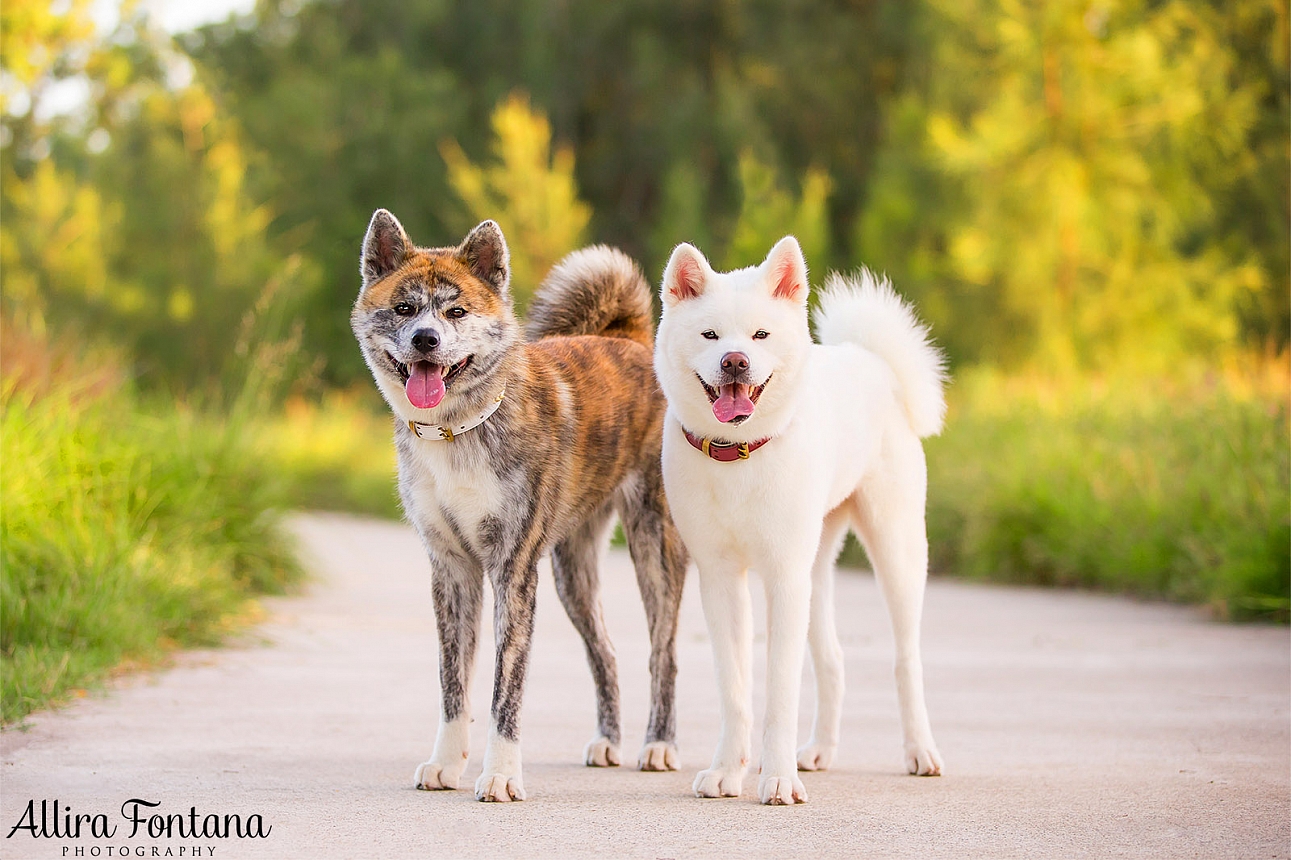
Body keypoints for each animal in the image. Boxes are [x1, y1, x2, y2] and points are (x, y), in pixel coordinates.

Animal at [655, 236, 950, 805]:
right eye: (710, 334)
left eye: (760, 335)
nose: (735, 361)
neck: (739, 454)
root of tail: (869, 357)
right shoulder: (720, 579)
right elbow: (735, 689)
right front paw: (727, 771)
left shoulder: (784, 579)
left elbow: (780, 693)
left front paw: (776, 779)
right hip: (815, 571)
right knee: (833, 660)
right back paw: (818, 752)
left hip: (897, 554)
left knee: (907, 660)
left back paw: (920, 751)